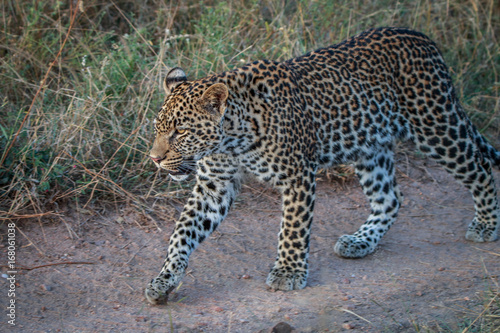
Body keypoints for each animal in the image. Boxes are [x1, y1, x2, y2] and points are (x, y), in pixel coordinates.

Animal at [144, 27, 496, 304]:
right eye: (158, 128)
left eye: (181, 132)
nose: (155, 158)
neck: (232, 140)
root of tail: (423, 38)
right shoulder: (213, 187)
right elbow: (182, 233)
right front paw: (164, 279)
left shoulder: (297, 176)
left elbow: (292, 228)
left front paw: (288, 272)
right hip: (370, 146)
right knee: (389, 198)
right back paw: (361, 241)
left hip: (436, 127)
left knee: (480, 167)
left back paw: (486, 225)